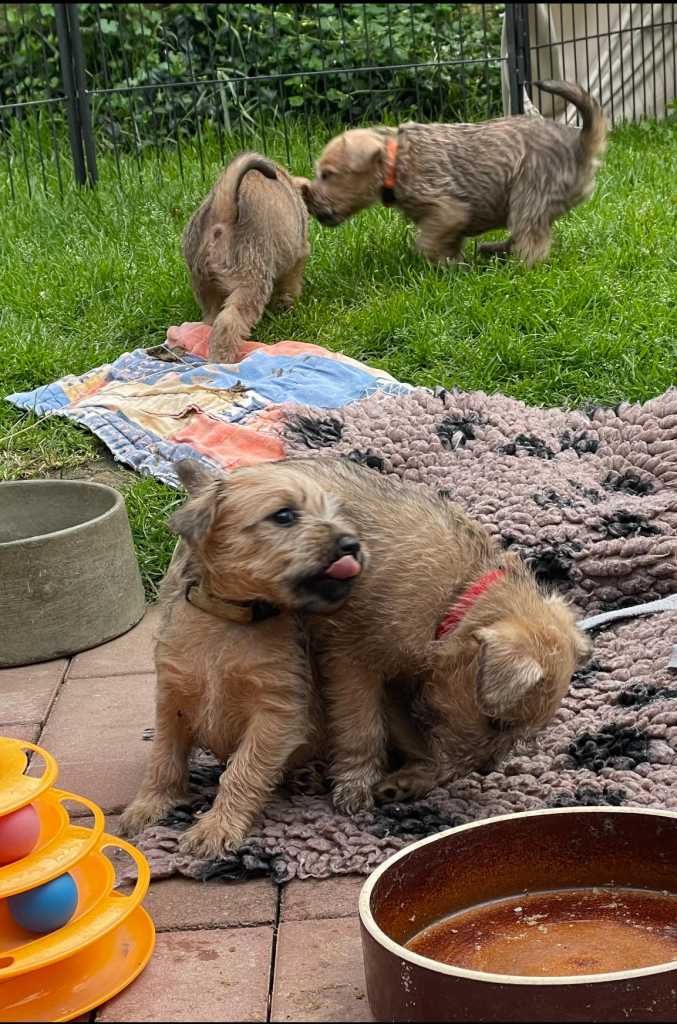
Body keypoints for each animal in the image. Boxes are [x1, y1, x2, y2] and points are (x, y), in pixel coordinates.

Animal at [118, 458, 366, 856]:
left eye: (334, 513)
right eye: (284, 515)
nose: (352, 544)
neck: (231, 620)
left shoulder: (275, 713)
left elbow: (242, 772)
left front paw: (216, 827)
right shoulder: (171, 700)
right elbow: (163, 758)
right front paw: (149, 805)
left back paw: (307, 775)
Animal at [184, 149, 311, 362]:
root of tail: (221, 215)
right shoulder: (297, 256)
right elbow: (290, 285)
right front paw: (287, 305)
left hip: (204, 285)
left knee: (211, 318)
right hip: (251, 285)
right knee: (228, 322)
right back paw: (222, 359)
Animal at [292, 460, 589, 811]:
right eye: (498, 723)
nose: (486, 769)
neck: (457, 598)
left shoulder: (400, 684)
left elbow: (420, 744)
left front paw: (411, 779)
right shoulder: (352, 664)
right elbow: (361, 728)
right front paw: (356, 783)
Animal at [299, 80, 606, 268]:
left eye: (327, 174)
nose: (309, 203)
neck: (396, 161)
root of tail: (580, 144)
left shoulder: (447, 210)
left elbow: (427, 243)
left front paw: (447, 267)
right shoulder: (448, 221)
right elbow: (447, 242)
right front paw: (455, 263)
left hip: (530, 193)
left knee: (532, 243)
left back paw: (516, 269)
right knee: (525, 234)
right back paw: (493, 250)